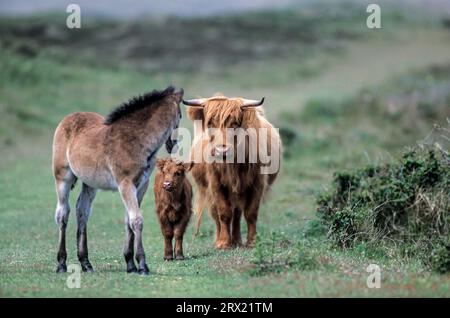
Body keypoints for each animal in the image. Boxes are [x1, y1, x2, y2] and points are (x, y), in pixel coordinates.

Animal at [53, 85, 185, 274]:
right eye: (180, 116)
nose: (172, 145)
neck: (135, 139)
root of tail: (69, 118)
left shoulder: (141, 186)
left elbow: (128, 220)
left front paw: (130, 264)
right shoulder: (125, 184)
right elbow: (136, 220)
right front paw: (142, 265)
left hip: (90, 183)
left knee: (82, 211)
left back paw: (86, 263)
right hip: (62, 177)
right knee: (63, 213)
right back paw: (61, 264)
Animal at [183, 94, 282, 248]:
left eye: (235, 123)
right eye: (210, 123)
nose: (221, 150)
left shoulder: (257, 183)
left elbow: (251, 213)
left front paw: (252, 241)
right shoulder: (215, 184)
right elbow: (223, 212)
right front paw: (223, 242)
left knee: (237, 214)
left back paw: (237, 240)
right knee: (216, 214)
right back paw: (220, 239)